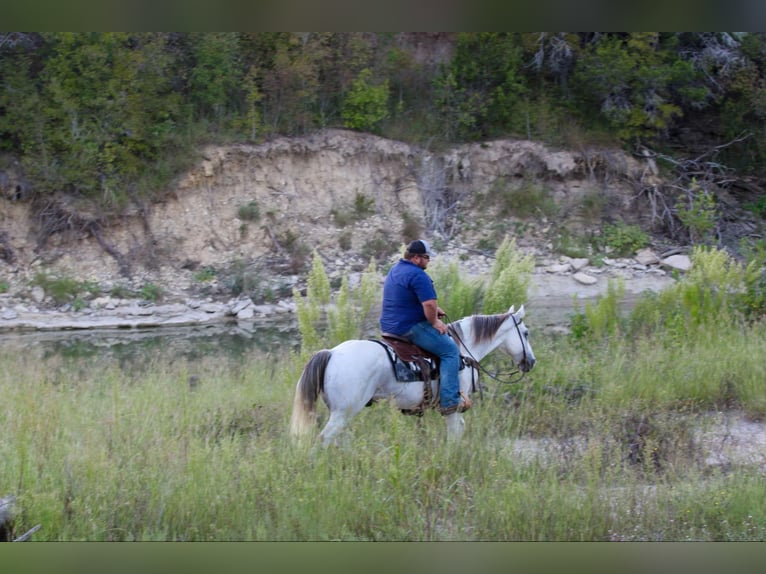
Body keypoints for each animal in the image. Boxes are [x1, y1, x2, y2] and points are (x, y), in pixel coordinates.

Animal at [289, 304, 536, 446]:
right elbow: (455, 434)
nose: (531, 362)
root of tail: (331, 353)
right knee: (323, 440)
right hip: (343, 412)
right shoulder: (453, 406)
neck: (463, 351)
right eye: (525, 333)